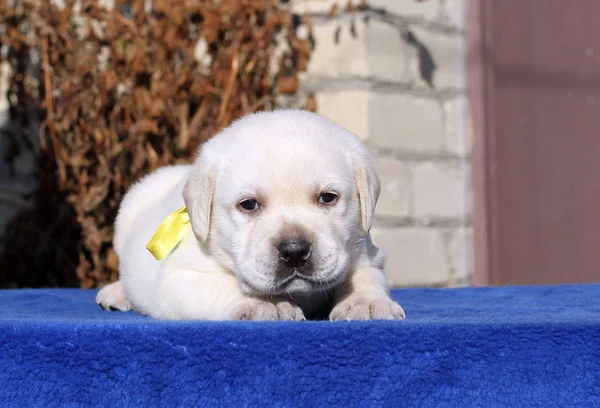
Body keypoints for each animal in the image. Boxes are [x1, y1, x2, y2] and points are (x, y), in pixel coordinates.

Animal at [96, 110, 406, 320]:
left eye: (328, 198)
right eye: (248, 205)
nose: (294, 250)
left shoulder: (366, 253)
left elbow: (366, 276)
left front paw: (365, 302)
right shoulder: (178, 278)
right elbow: (225, 285)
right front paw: (266, 303)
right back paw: (117, 292)